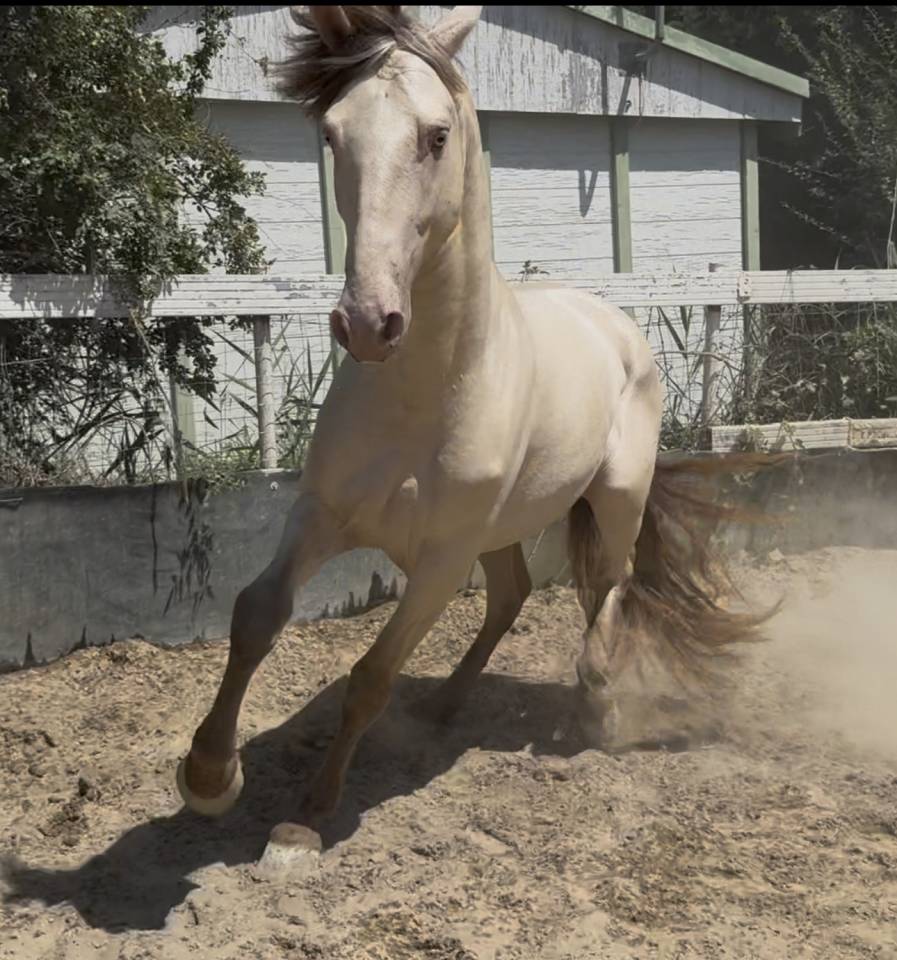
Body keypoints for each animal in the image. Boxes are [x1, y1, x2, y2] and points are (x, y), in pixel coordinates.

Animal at [176, 5, 772, 868]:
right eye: (331, 133)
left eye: (435, 135)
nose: (367, 323)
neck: (423, 394)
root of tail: (612, 322)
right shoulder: (321, 516)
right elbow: (257, 613)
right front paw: (208, 775)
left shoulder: (438, 562)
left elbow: (370, 676)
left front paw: (308, 816)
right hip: (502, 526)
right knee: (515, 593)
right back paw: (449, 704)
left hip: (614, 498)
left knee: (609, 584)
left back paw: (595, 709)